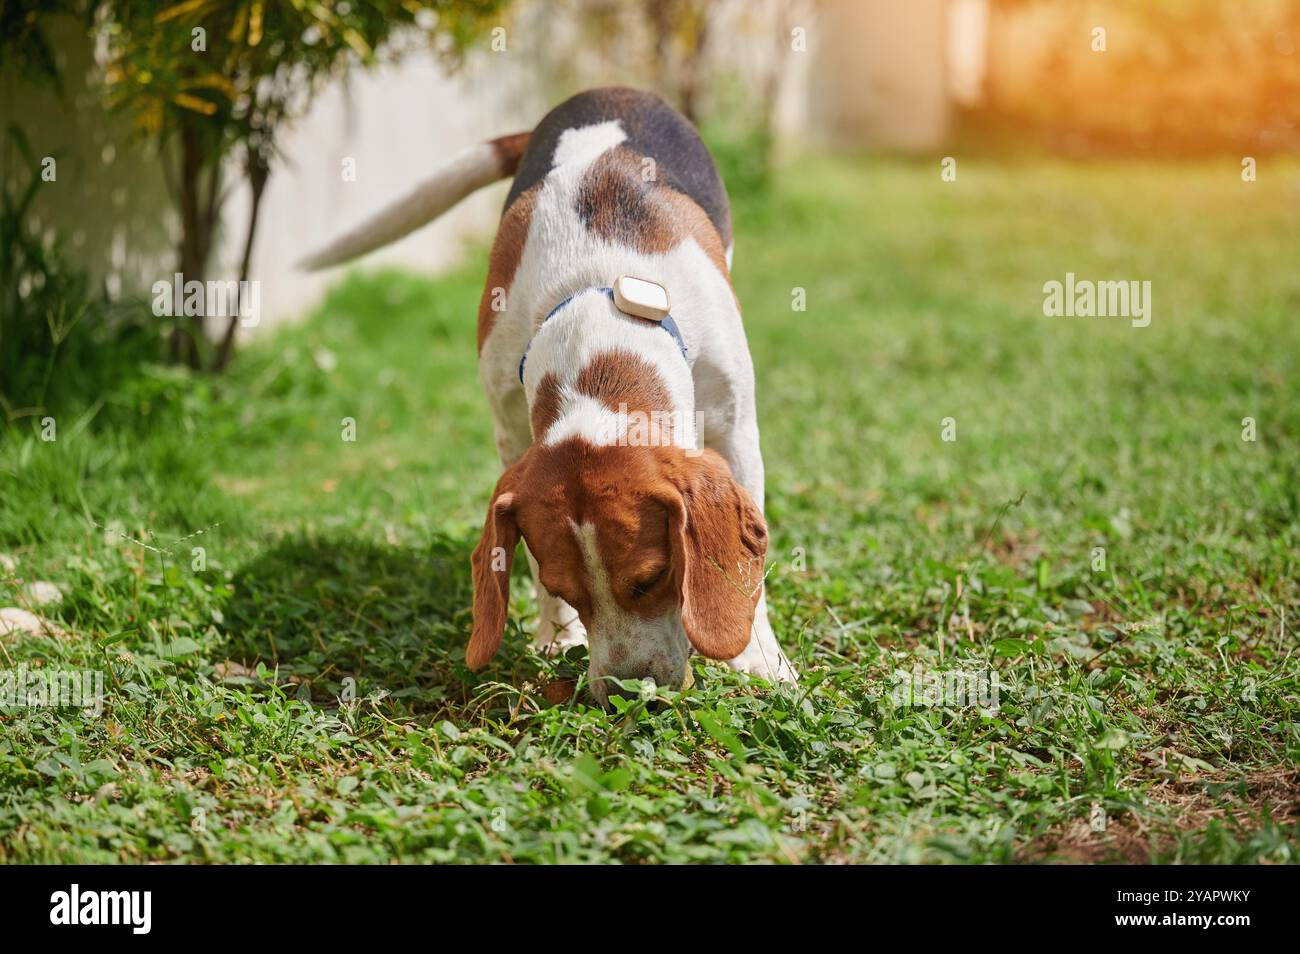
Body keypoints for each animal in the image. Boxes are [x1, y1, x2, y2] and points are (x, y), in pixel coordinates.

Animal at [301, 85, 790, 707]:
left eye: (654, 578)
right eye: (569, 588)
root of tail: (604, 91)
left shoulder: (735, 429)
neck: (600, 314)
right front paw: (557, 638)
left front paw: (760, 658)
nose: (626, 693)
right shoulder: (511, 434)